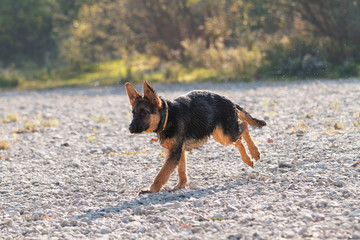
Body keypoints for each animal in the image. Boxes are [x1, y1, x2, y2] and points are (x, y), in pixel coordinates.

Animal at [125, 81, 266, 194]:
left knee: (244, 127)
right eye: (133, 113)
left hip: (226, 134)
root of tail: (230, 101)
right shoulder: (179, 151)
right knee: (240, 138)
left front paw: (151, 189)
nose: (130, 128)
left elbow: (162, 174)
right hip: (221, 136)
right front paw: (181, 185)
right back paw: (248, 159)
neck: (167, 116)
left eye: (144, 113)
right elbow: (181, 170)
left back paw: (254, 152)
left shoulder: (175, 152)